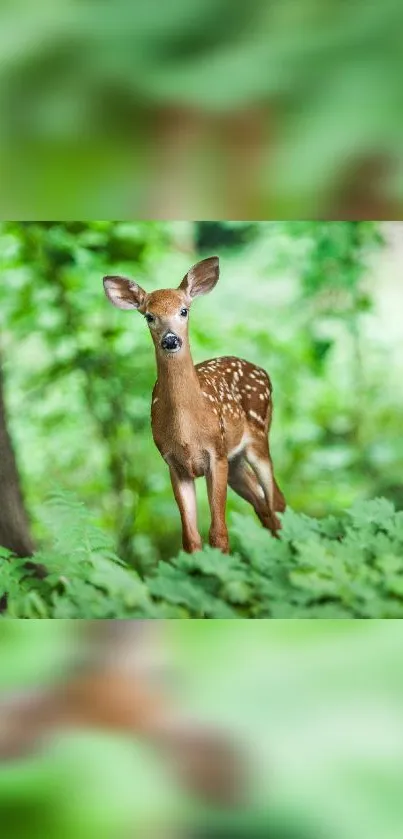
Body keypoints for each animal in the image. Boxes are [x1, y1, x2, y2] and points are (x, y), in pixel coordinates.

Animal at [104, 258, 288, 556]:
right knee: (263, 505)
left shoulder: (216, 454)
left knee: (277, 501)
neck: (187, 431)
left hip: (258, 437)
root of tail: (263, 371)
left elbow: (219, 534)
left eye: (184, 310)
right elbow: (190, 539)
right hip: (235, 461)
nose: (170, 340)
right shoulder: (174, 464)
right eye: (149, 316)